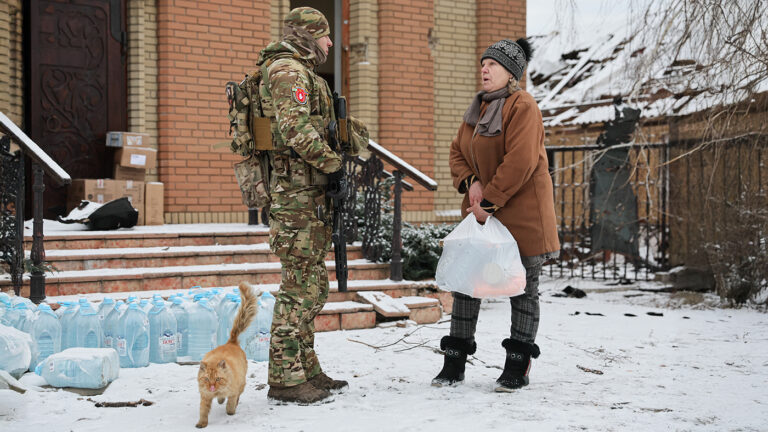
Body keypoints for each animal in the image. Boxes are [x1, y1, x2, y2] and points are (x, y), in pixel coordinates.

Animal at [195, 282, 258, 426]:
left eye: (218, 379)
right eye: (207, 379)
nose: (212, 387)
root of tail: (231, 342)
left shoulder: (233, 392)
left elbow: (230, 404)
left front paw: (230, 411)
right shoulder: (205, 396)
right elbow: (203, 411)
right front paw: (202, 424)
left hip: (242, 384)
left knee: (238, 397)